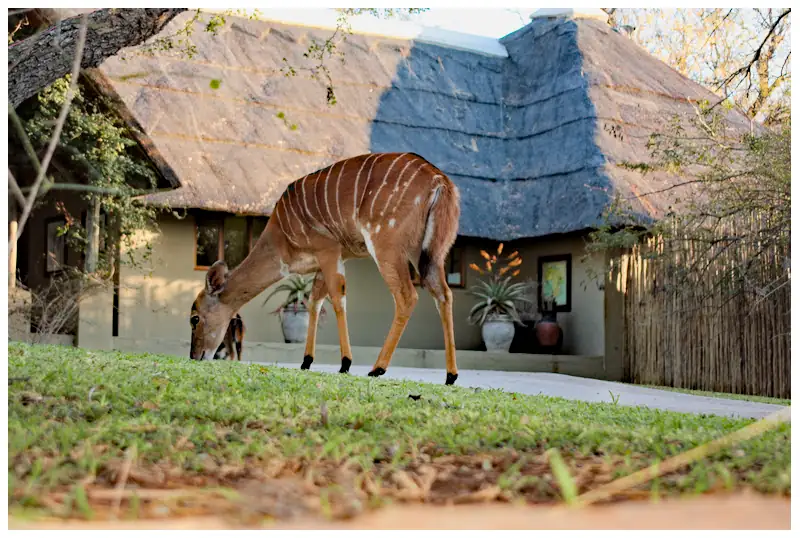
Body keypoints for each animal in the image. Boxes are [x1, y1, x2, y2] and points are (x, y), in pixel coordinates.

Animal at [189, 153, 462, 384]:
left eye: (194, 318)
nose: (195, 356)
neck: (280, 239)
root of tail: (441, 182)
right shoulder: (326, 260)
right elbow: (314, 301)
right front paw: (306, 361)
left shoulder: (329, 249)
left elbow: (338, 298)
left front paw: (345, 363)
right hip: (429, 254)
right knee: (444, 294)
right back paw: (450, 376)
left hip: (387, 245)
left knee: (407, 296)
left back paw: (377, 368)